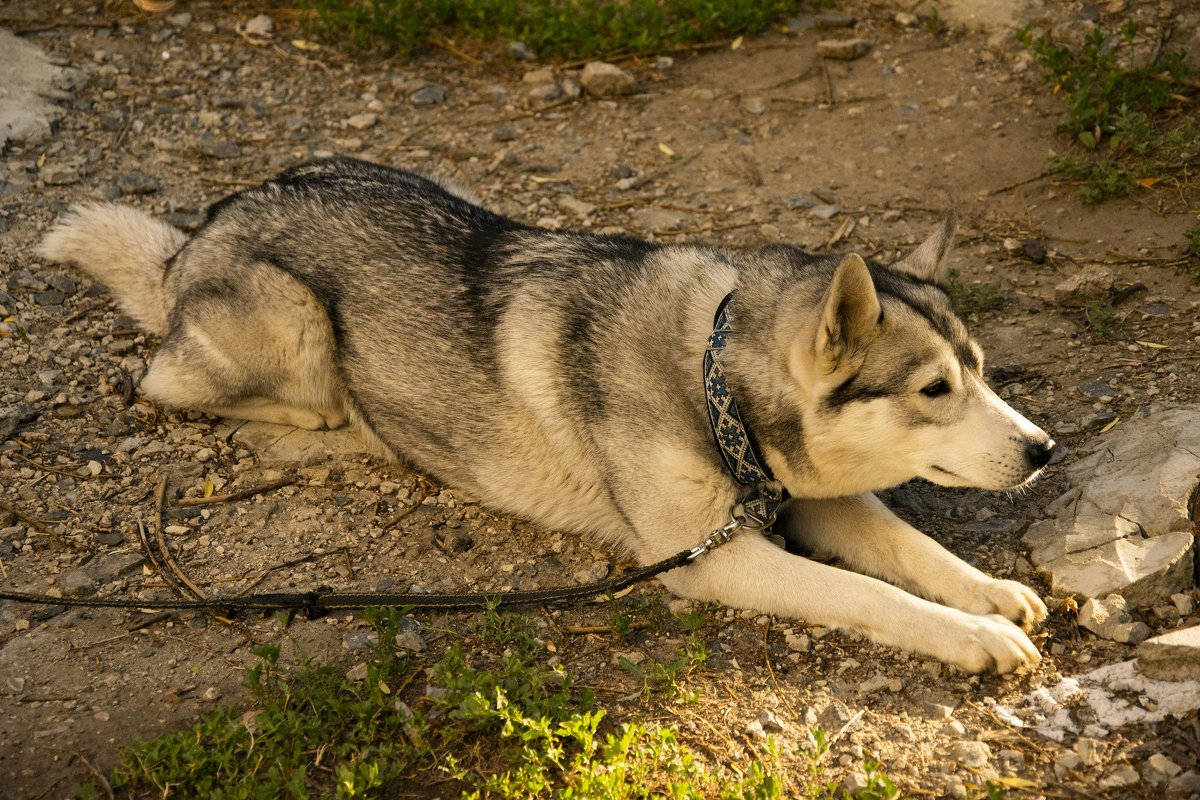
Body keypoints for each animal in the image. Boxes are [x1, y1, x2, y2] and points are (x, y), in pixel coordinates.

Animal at [37, 159, 1056, 671]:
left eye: (980, 372)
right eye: (933, 390)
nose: (1045, 450)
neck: (714, 381)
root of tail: (196, 236)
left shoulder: (812, 498)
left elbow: (912, 552)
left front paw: (991, 595)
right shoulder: (714, 559)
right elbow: (872, 594)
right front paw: (976, 639)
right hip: (291, 323)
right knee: (157, 382)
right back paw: (338, 429)